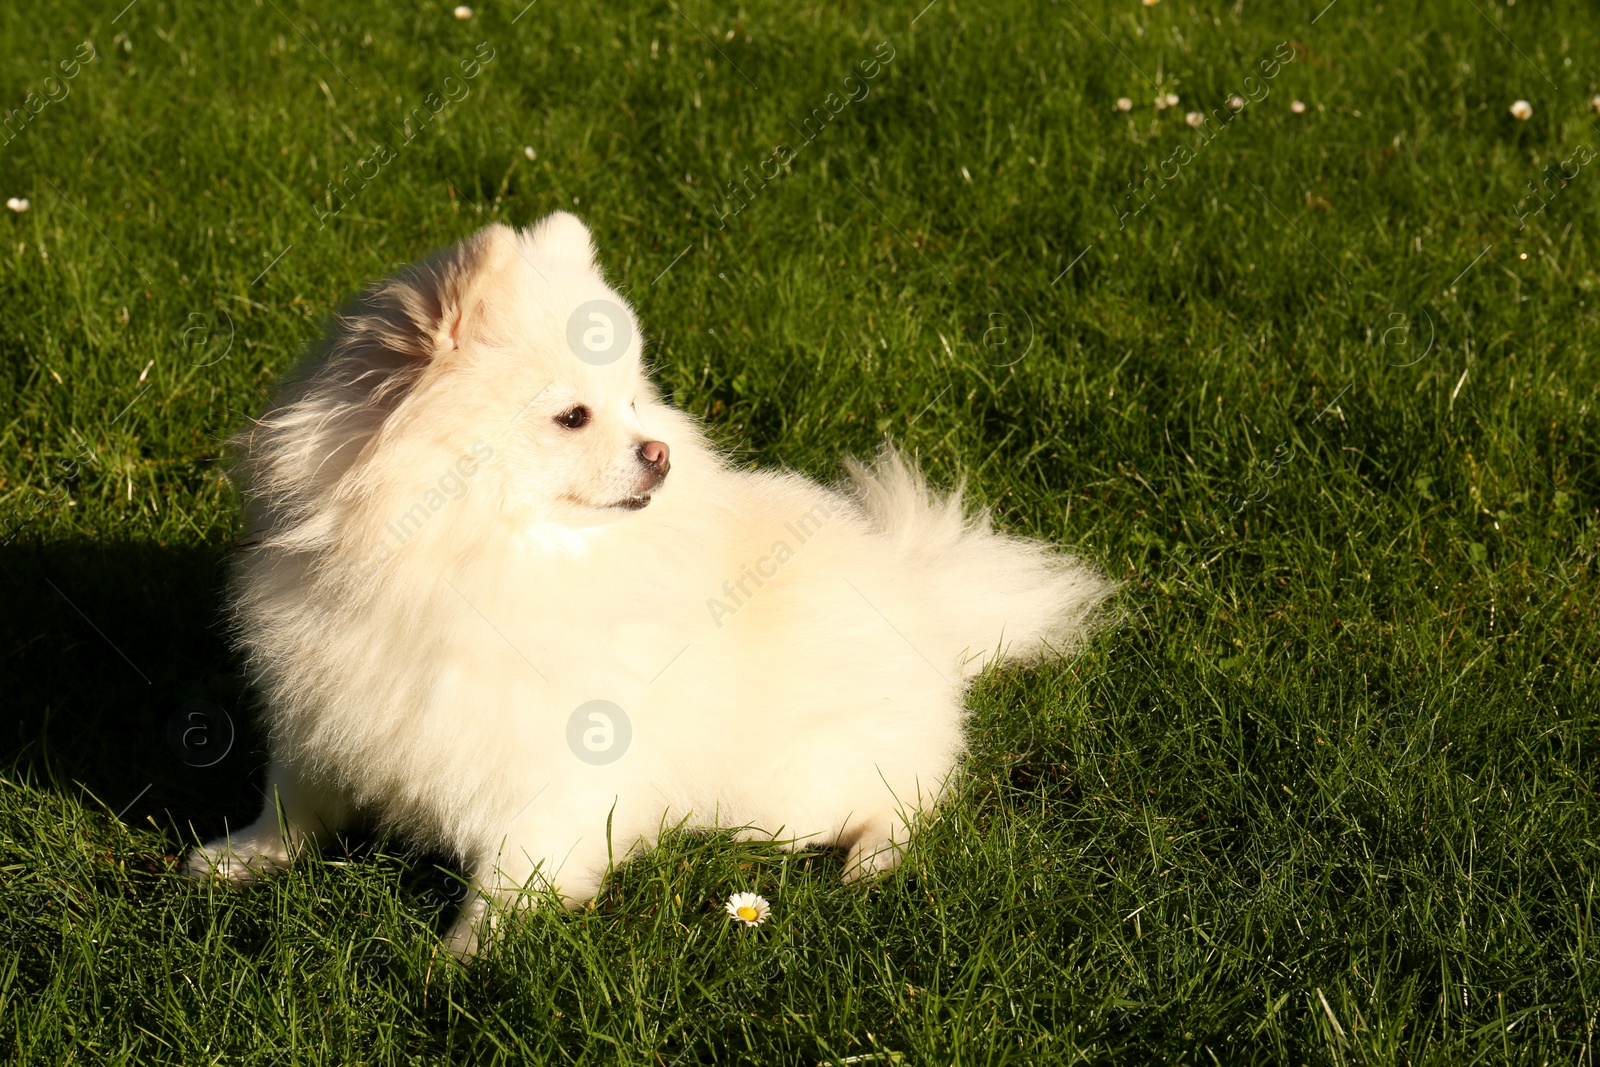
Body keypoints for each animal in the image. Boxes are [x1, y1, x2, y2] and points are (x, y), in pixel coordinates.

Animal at [184, 212, 1113, 953]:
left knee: (913, 795)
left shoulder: (547, 760)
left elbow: (513, 867)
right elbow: (294, 802)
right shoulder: (330, 705)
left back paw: (871, 861)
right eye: (574, 416)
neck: (469, 555)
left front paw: (463, 958)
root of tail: (927, 599)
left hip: (802, 785)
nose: (658, 453)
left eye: (633, 403)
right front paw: (239, 859)